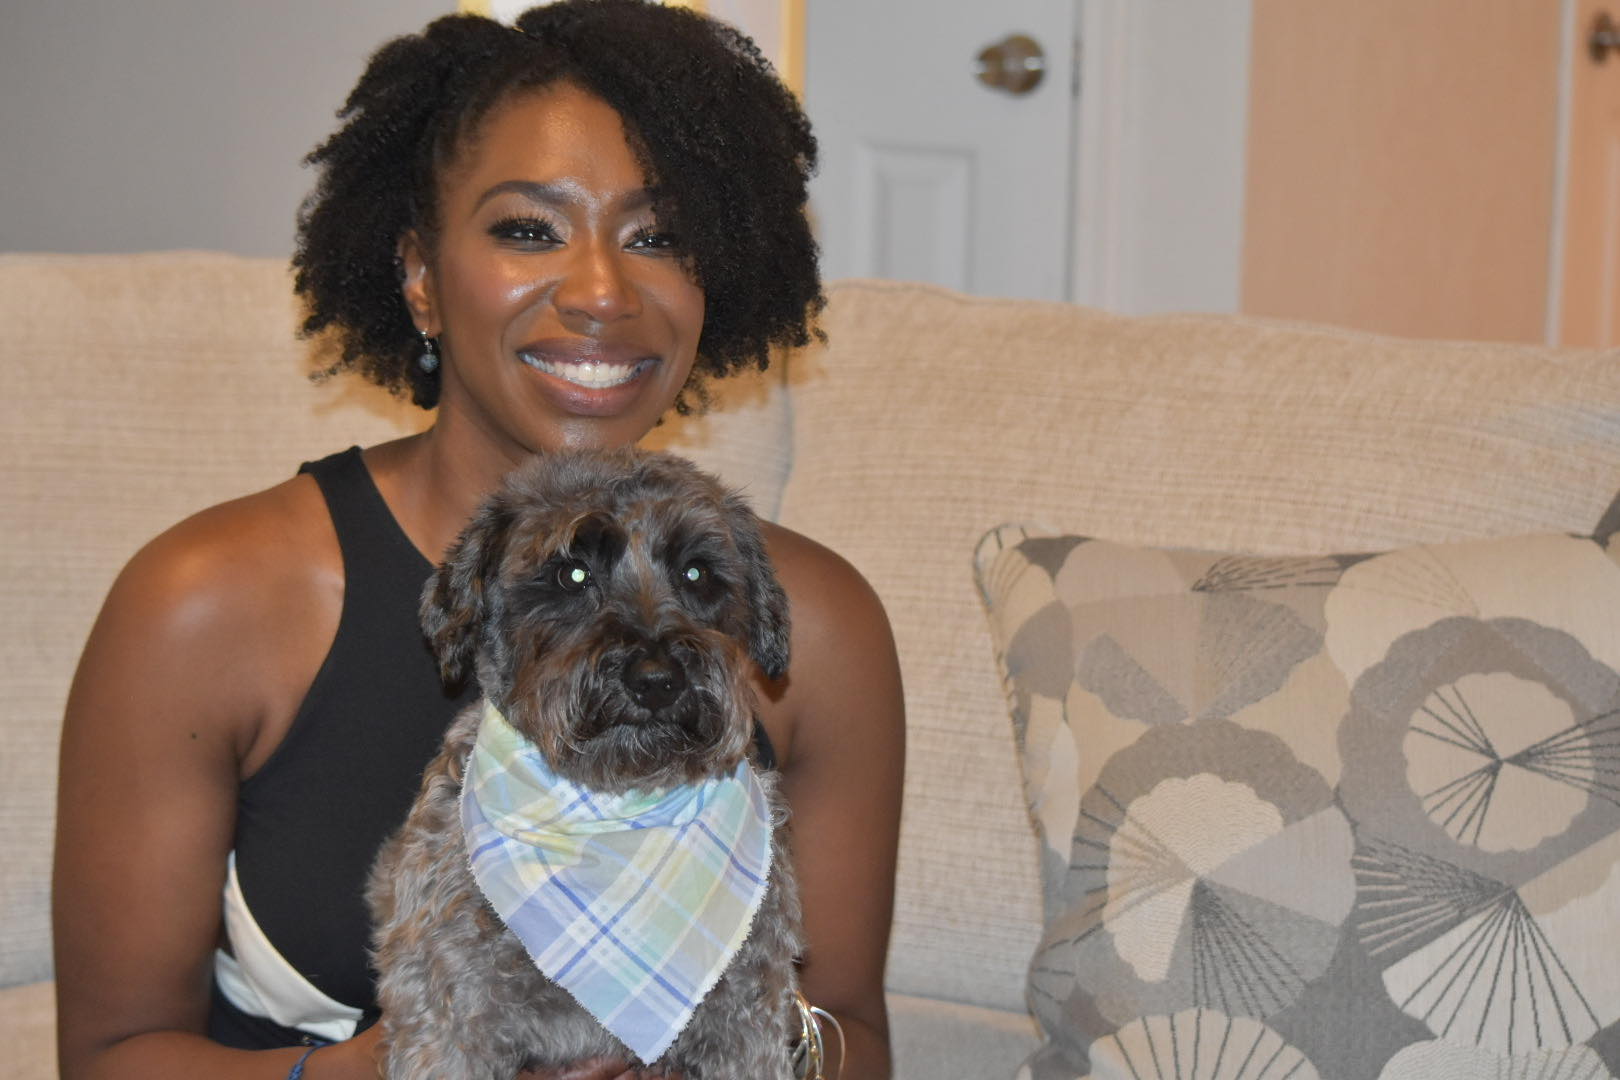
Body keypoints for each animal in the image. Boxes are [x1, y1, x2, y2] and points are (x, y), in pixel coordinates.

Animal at [364, 446, 800, 1080]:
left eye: (695, 572)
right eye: (572, 573)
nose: (656, 679)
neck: (615, 806)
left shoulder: (745, 1022)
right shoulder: (449, 1018)